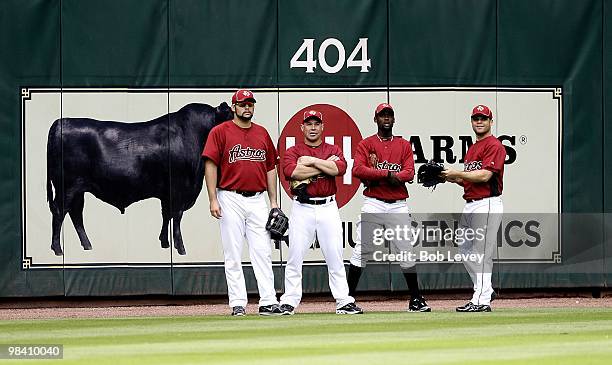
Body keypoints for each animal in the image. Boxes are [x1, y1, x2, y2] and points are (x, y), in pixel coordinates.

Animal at [46, 102, 233, 255]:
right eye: (230, 118)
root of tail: (60, 123)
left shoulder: (167, 192)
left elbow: (166, 215)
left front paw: (164, 243)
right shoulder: (179, 189)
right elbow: (176, 217)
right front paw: (180, 249)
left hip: (78, 189)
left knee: (75, 213)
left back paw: (87, 245)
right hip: (67, 187)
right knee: (59, 211)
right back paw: (57, 249)